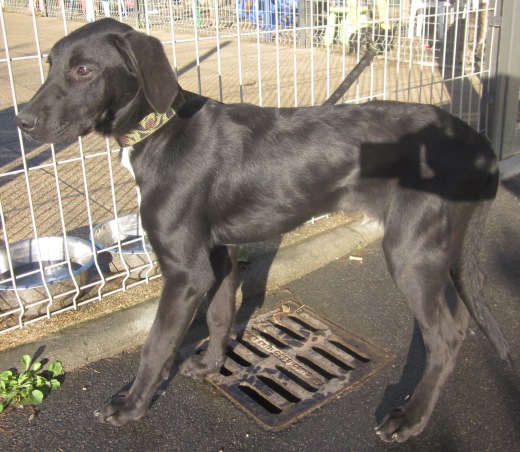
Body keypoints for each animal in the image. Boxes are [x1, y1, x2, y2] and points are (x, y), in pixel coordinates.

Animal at [17, 18, 512, 442]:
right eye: (50, 65)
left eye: (84, 70)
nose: (22, 122)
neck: (160, 132)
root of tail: (482, 142)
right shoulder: (218, 255)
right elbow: (219, 315)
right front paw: (211, 365)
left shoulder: (184, 272)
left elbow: (155, 345)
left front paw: (130, 407)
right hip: (443, 249)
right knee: (461, 318)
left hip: (412, 251)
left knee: (444, 338)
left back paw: (410, 419)